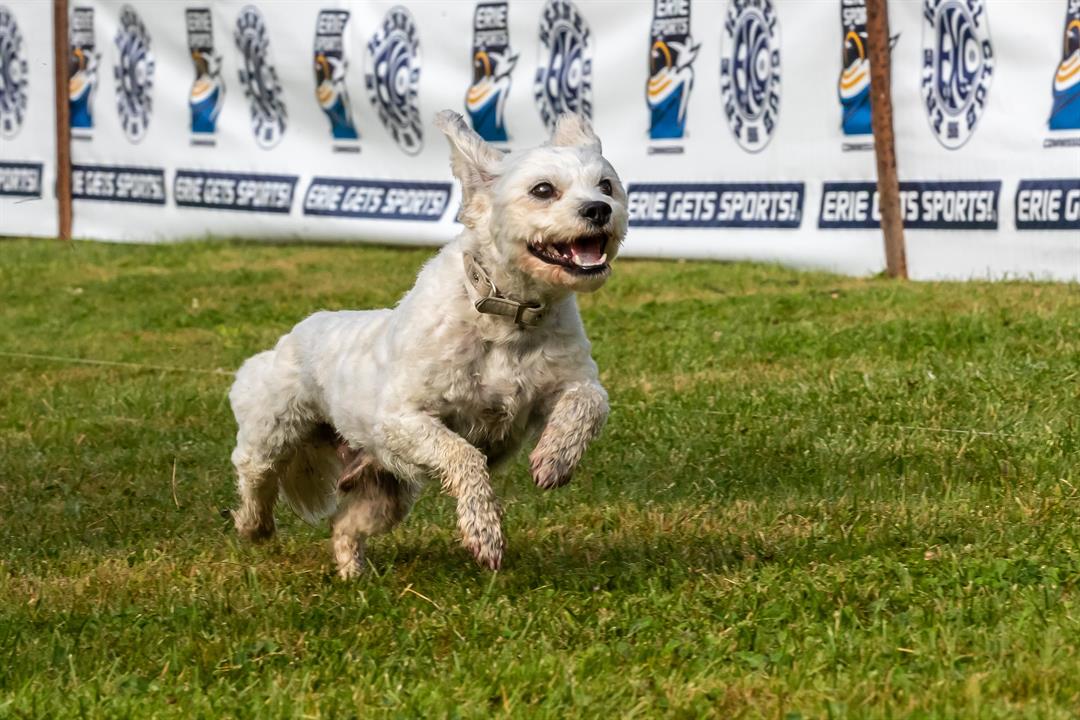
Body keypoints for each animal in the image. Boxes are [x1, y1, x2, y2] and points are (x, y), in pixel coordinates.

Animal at [232, 110, 630, 578]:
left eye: (606, 185)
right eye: (543, 190)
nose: (599, 210)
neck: (505, 318)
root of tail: (295, 333)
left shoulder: (568, 382)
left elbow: (589, 402)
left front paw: (555, 459)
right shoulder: (403, 421)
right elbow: (464, 455)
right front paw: (484, 533)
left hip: (386, 490)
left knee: (345, 525)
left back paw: (352, 575)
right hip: (274, 428)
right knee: (254, 474)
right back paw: (254, 525)